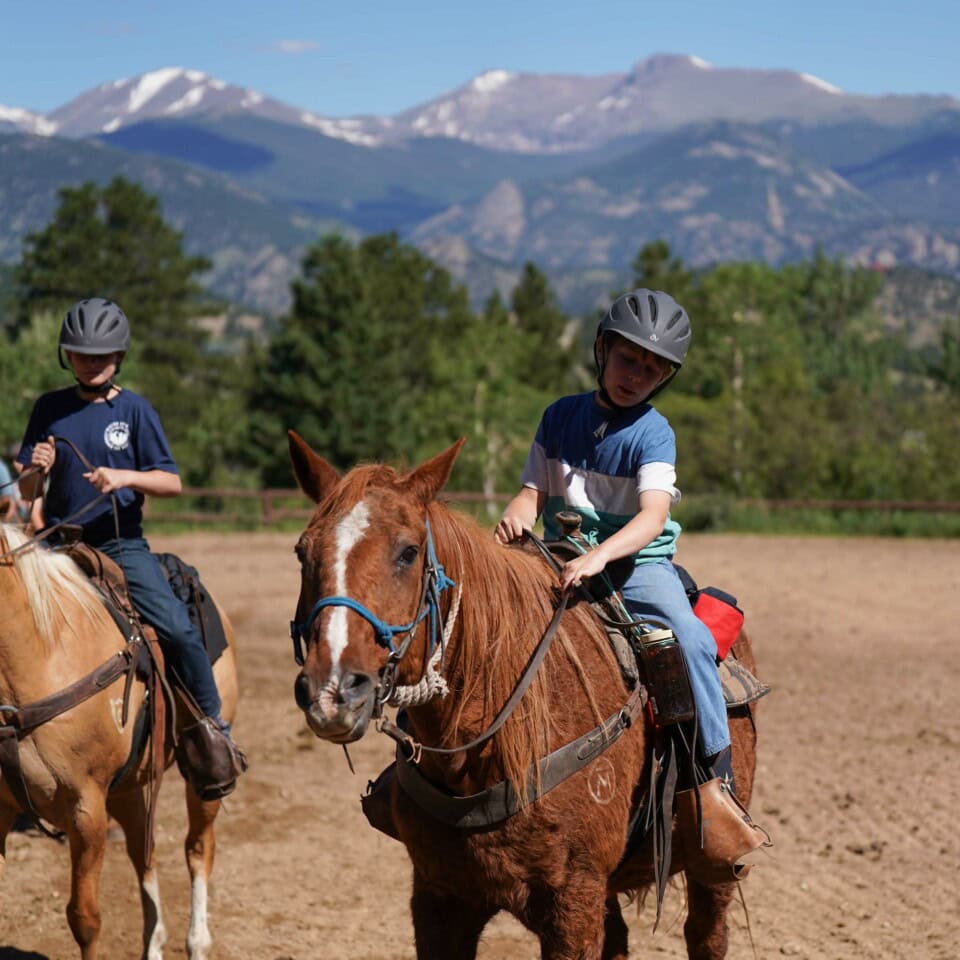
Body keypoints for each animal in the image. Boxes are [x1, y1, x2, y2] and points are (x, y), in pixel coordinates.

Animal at [0, 523, 241, 960]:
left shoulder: (87, 809)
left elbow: (85, 919)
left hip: (204, 783)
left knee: (198, 848)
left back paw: (197, 941)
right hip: (131, 786)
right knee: (144, 852)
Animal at [287, 431, 764, 960]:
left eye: (408, 552)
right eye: (303, 552)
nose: (333, 689)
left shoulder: (573, 900)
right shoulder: (439, 896)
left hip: (711, 871)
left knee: (707, 932)